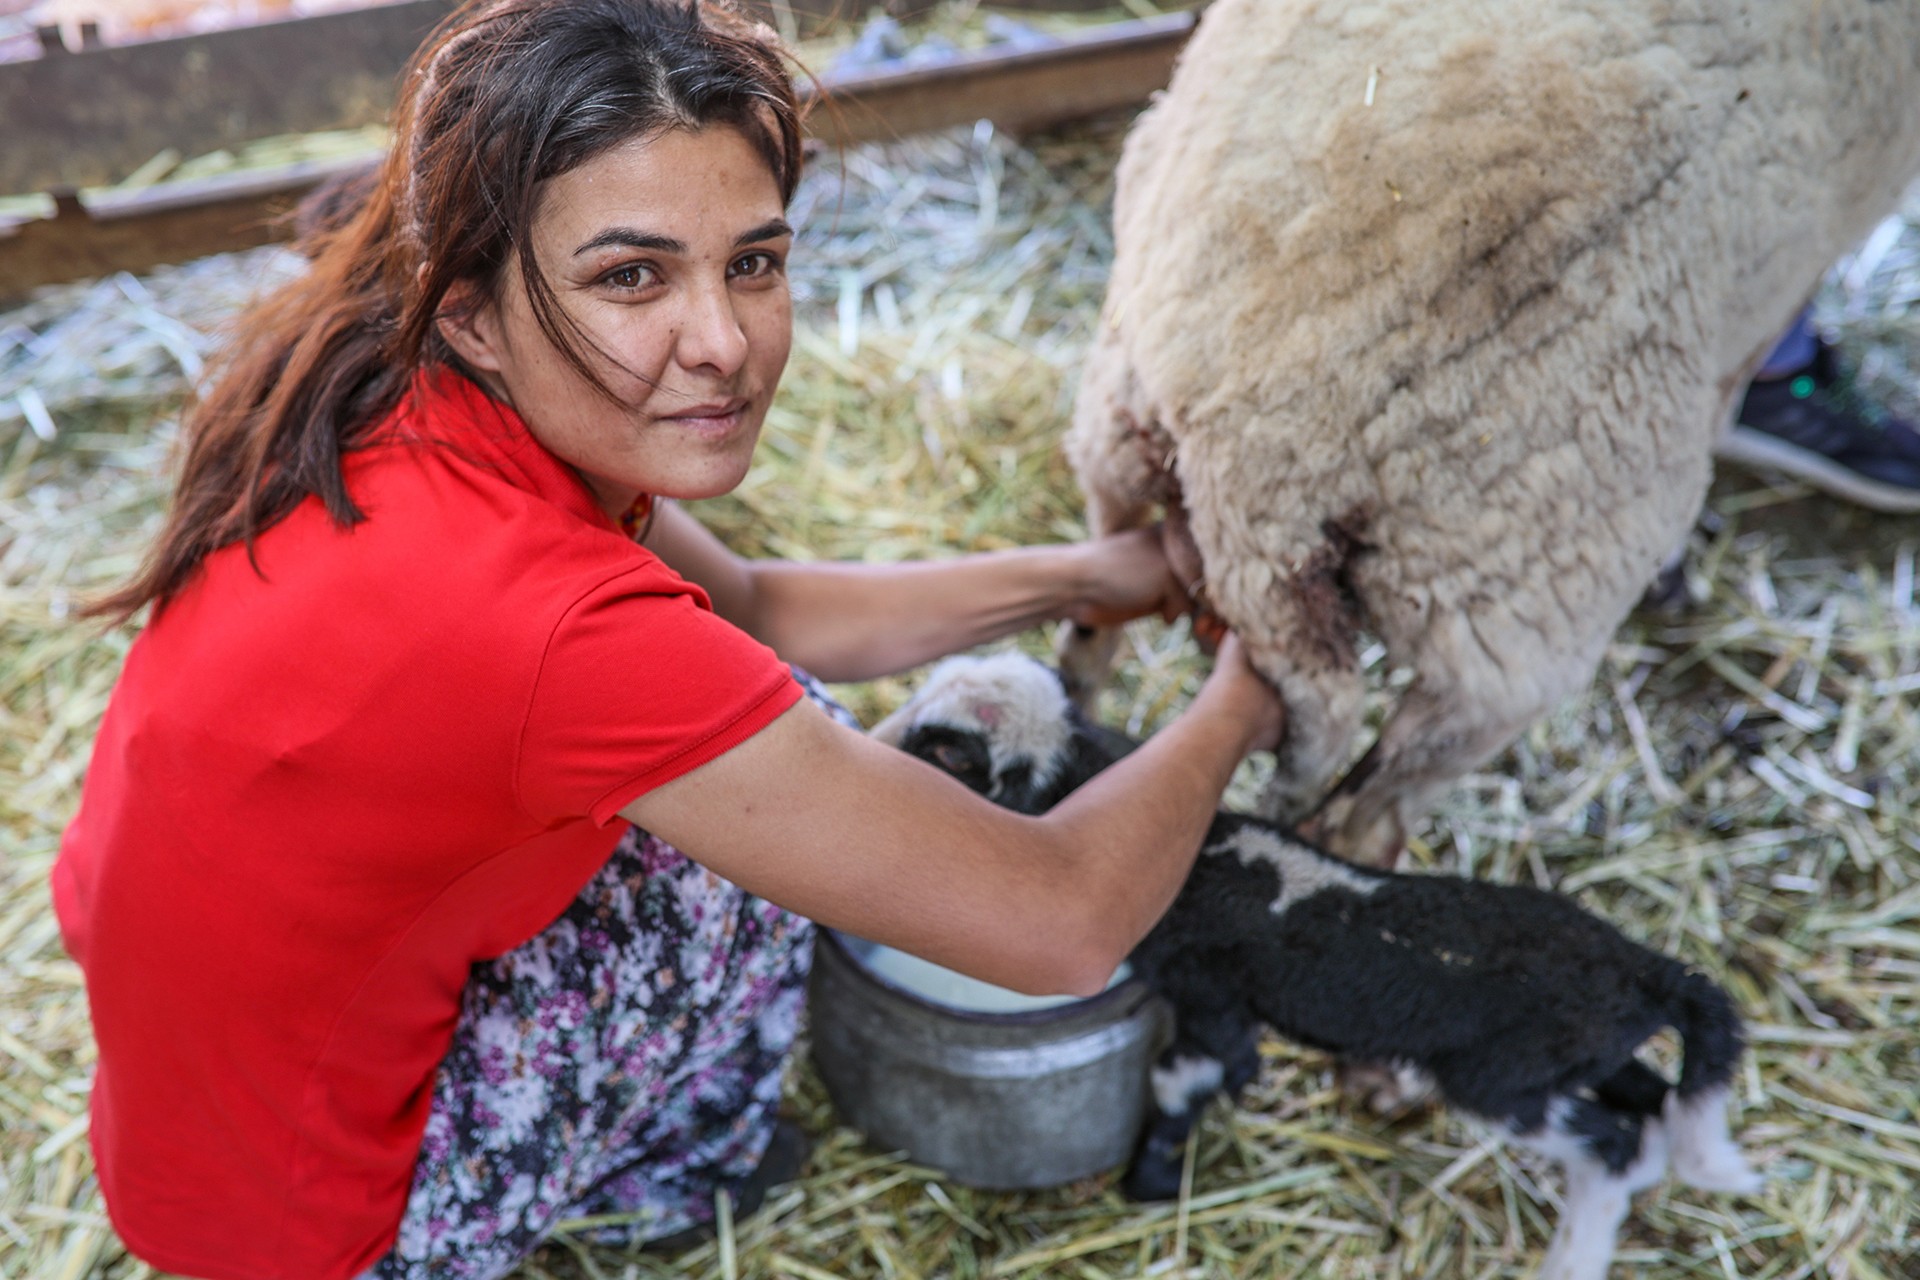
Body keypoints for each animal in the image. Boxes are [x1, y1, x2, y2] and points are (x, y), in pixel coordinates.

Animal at [879, 656, 1758, 1280]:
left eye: (938, 747)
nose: (877, 739)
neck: (1200, 858)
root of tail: (1649, 970)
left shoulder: (1210, 999)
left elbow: (1186, 1077)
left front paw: (1153, 1182)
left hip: (1502, 1080)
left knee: (1615, 1148)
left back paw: (1570, 1262)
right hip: (1581, 1055)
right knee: (1654, 1108)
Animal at [1059, 0, 1920, 867]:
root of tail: (1252, 456)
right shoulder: (1778, 283)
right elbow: (1738, 385)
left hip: (1113, 428)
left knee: (1093, 621)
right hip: (1512, 629)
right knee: (1361, 815)